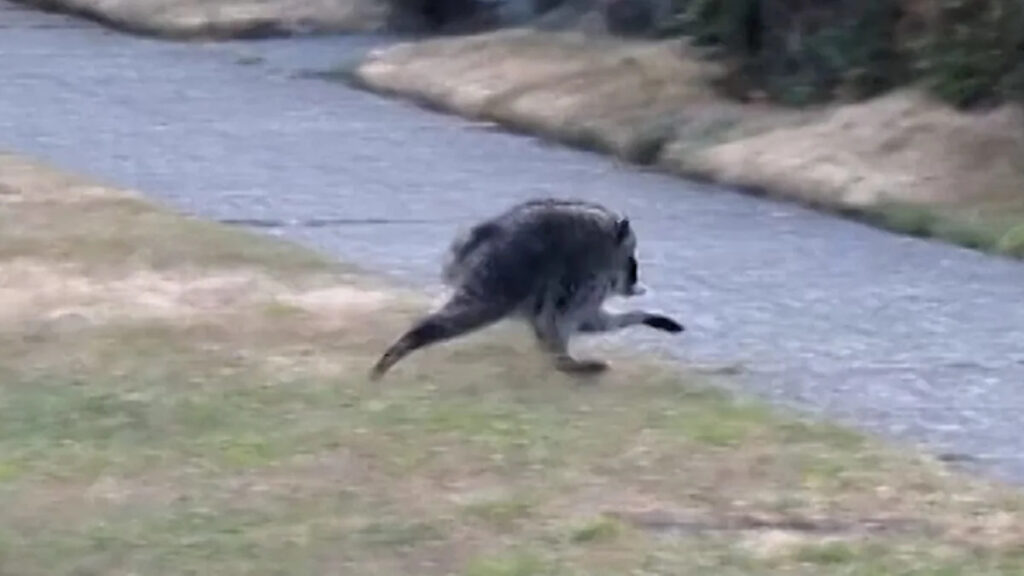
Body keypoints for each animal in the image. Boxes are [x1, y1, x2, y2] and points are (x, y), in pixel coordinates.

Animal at [369, 198, 684, 380]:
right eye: (633, 261)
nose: (634, 282)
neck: (607, 238)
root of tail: (482, 232)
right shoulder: (585, 272)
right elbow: (570, 318)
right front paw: (563, 359)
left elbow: (592, 321)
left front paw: (647, 316)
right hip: (505, 273)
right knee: (470, 313)